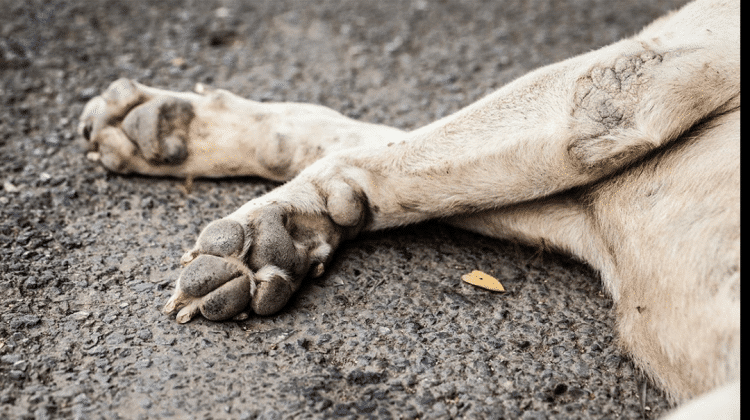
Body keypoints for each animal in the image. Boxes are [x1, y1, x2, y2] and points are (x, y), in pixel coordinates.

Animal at [78, 0, 740, 416]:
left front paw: (269, 227)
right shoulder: (603, 201)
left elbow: (376, 153)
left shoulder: (629, 86)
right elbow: (362, 142)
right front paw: (187, 132)